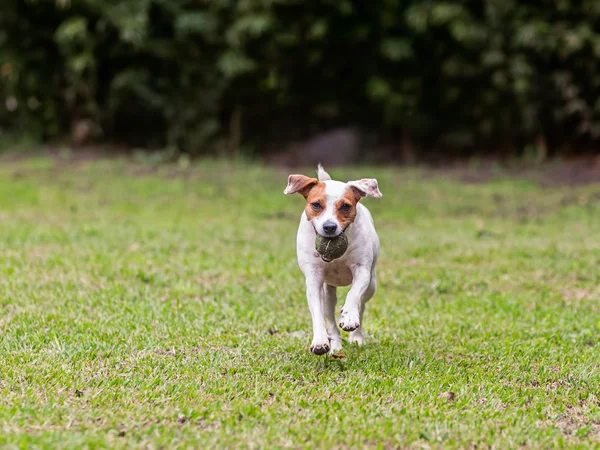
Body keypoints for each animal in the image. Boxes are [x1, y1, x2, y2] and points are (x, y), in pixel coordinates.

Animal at [284, 165, 382, 356]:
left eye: (345, 206)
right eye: (316, 204)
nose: (329, 227)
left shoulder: (362, 270)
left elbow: (354, 294)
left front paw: (349, 316)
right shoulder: (313, 278)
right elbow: (317, 312)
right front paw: (320, 341)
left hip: (371, 285)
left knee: (362, 305)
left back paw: (356, 336)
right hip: (328, 291)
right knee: (329, 315)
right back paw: (335, 345)